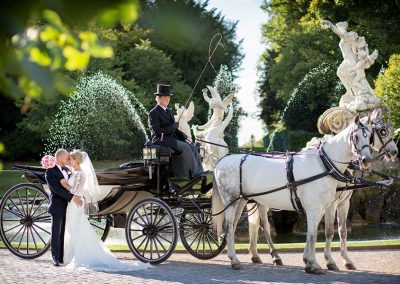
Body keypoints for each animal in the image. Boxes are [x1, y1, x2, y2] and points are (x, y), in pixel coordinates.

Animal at [214, 116, 374, 274]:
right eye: (356, 137)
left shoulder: (321, 208)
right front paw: (315, 264)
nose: (366, 160)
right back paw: (235, 260)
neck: (323, 164)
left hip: (241, 201)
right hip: (231, 200)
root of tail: (222, 161)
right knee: (228, 227)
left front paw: (309, 263)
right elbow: (313, 235)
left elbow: (313, 234)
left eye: (370, 136)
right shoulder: (315, 208)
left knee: (234, 226)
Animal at [247, 108, 396, 268]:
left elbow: (341, 231)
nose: (395, 151)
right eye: (382, 131)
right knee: (265, 227)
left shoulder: (343, 203)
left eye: (369, 137)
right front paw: (329, 260)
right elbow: (328, 231)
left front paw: (345, 259)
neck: (329, 163)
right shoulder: (330, 204)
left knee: (254, 224)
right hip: (262, 203)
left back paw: (255, 255)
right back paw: (275, 256)